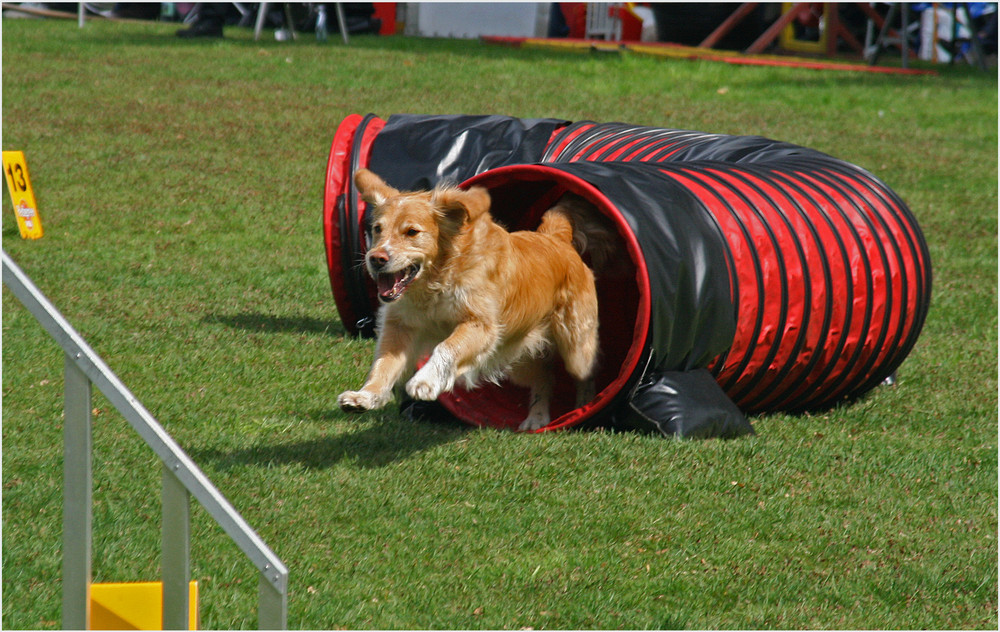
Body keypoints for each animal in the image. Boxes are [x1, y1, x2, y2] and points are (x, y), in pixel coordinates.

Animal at [336, 168, 600, 430]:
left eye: (412, 232)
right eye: (377, 229)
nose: (376, 259)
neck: (436, 281)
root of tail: (555, 238)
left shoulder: (481, 325)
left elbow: (447, 347)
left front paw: (425, 381)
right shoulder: (400, 326)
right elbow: (383, 364)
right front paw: (366, 395)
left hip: (575, 348)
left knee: (585, 374)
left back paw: (585, 406)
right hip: (519, 353)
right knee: (544, 376)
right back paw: (537, 417)